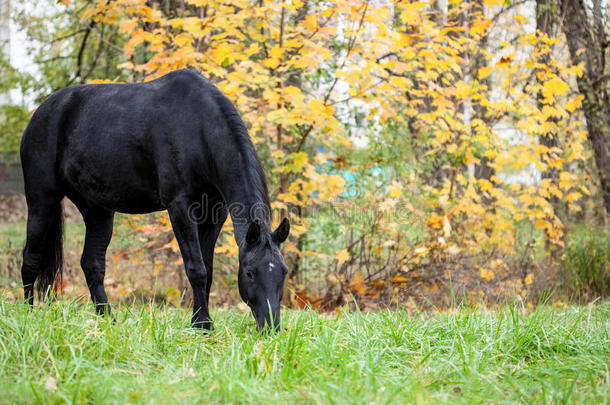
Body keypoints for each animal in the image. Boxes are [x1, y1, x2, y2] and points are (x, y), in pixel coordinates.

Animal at [21, 68, 290, 330]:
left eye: (284, 272)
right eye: (250, 272)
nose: (271, 327)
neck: (198, 128)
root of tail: (41, 112)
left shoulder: (215, 212)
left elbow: (208, 269)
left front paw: (199, 322)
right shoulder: (179, 206)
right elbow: (197, 268)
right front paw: (203, 324)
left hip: (98, 211)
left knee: (92, 264)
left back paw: (106, 319)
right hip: (41, 202)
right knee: (30, 258)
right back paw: (28, 315)